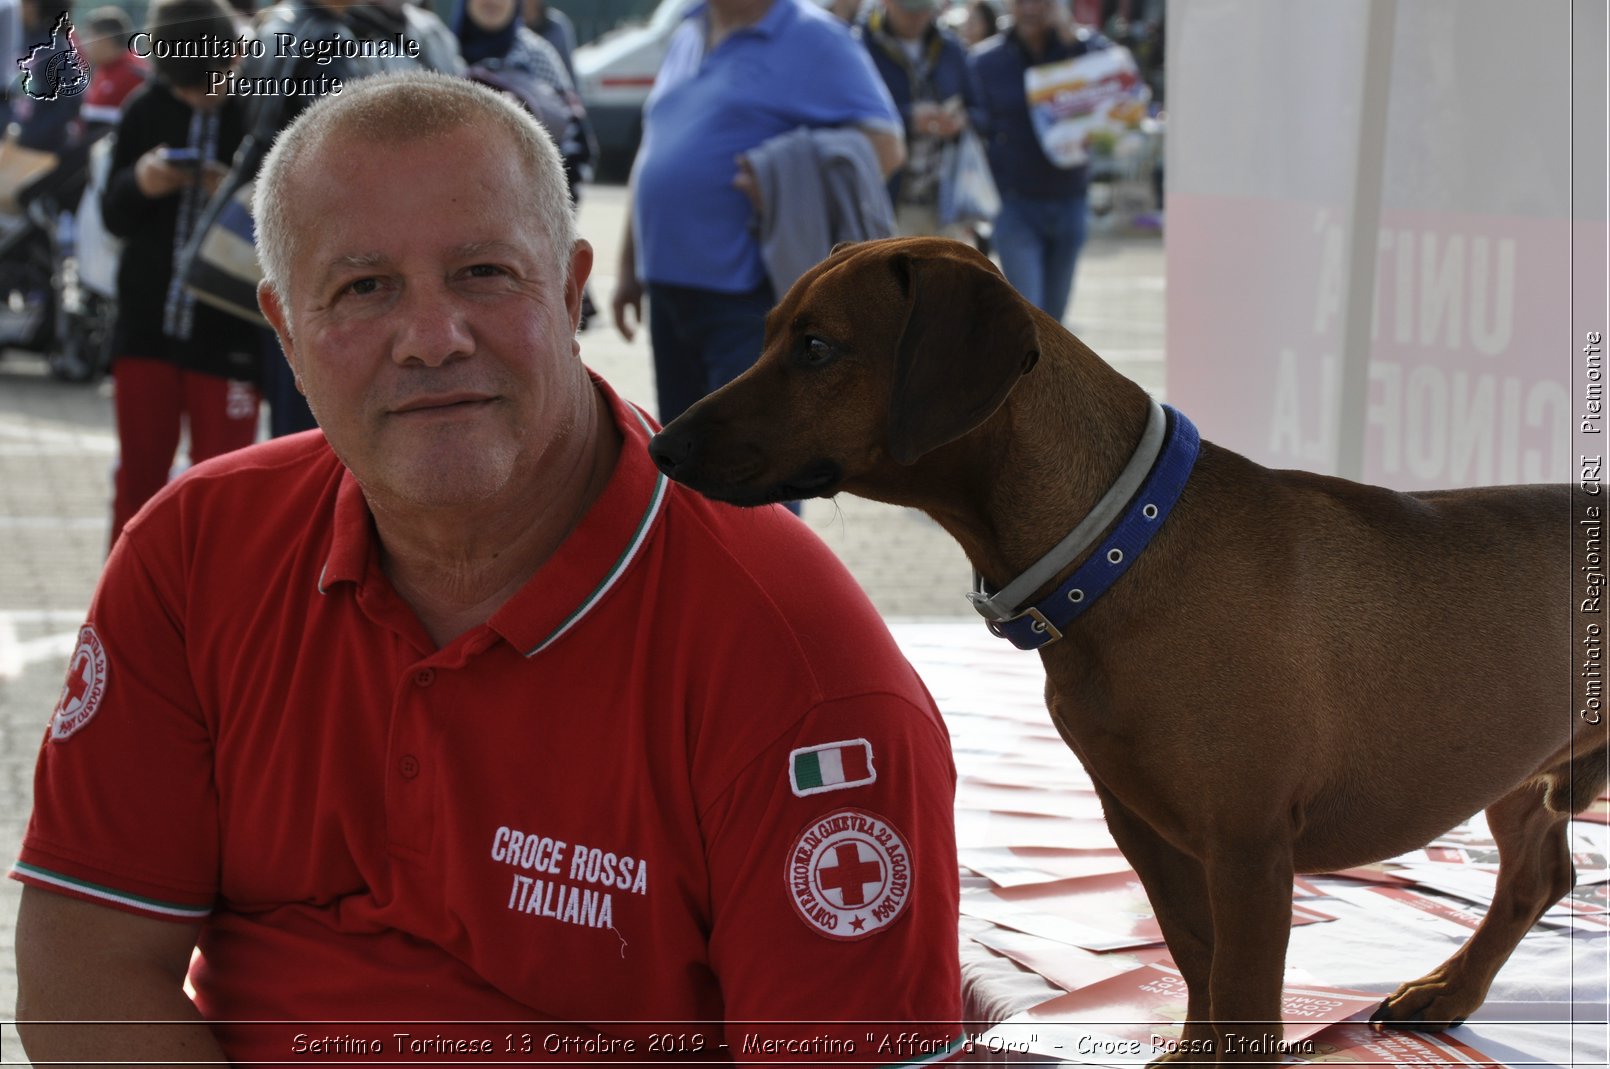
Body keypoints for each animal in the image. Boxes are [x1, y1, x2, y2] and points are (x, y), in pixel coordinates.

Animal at [647, 238, 1603, 1062]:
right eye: (771, 333)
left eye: (816, 346)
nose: (662, 444)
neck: (1122, 549)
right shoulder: (1146, 828)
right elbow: (1198, 971)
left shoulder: (1250, 852)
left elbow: (1243, 1003)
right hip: (1518, 770)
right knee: (1540, 873)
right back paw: (1453, 985)